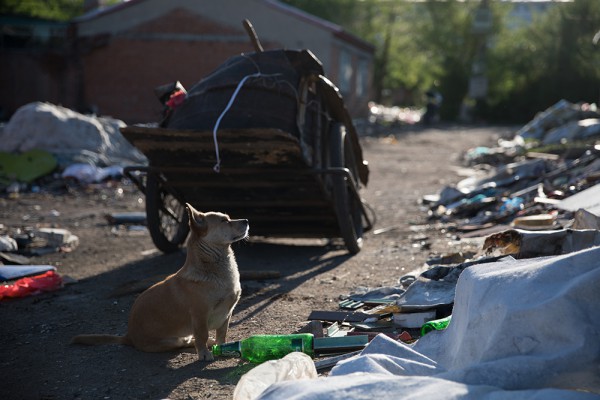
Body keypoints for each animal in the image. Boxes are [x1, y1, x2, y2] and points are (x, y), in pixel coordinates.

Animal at [71, 205, 247, 360]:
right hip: (172, 340)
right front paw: (204, 353)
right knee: (184, 342)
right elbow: (201, 336)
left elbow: (222, 334)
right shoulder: (199, 316)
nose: (246, 220)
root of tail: (129, 337)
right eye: (224, 221)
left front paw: (223, 348)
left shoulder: (227, 314)